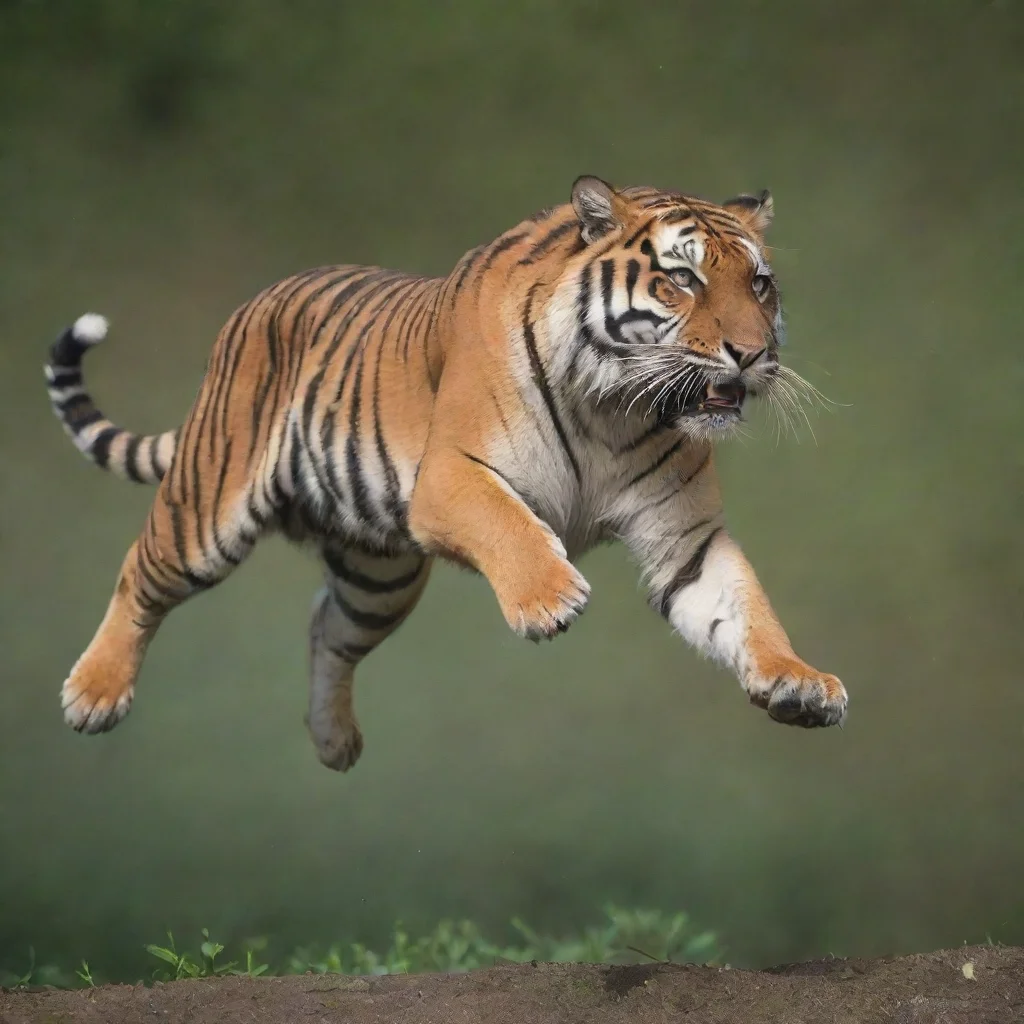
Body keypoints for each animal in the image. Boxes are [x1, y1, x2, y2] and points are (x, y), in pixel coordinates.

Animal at [45, 175, 848, 772]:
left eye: (761, 284)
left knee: (326, 627)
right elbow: (511, 525)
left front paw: (798, 680)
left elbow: (745, 607)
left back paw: (334, 743)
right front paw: (549, 598)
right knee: (140, 572)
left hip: (378, 578)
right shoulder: (449, 478)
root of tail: (253, 304)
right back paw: (94, 693)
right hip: (208, 509)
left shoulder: (686, 538)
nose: (753, 354)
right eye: (682, 278)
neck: (614, 406)